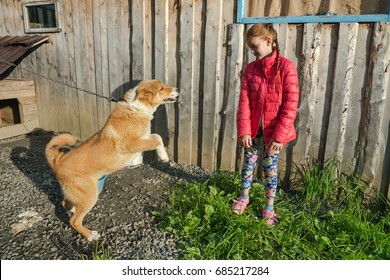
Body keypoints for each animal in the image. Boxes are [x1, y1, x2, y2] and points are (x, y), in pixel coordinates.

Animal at [45, 79, 178, 241]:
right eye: (161, 89)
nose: (177, 90)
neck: (136, 108)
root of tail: (59, 161)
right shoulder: (132, 143)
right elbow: (157, 139)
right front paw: (163, 156)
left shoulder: (142, 139)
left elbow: (155, 137)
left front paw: (142, 160)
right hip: (90, 195)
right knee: (74, 221)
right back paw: (90, 235)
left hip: (79, 193)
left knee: (65, 202)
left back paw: (72, 209)